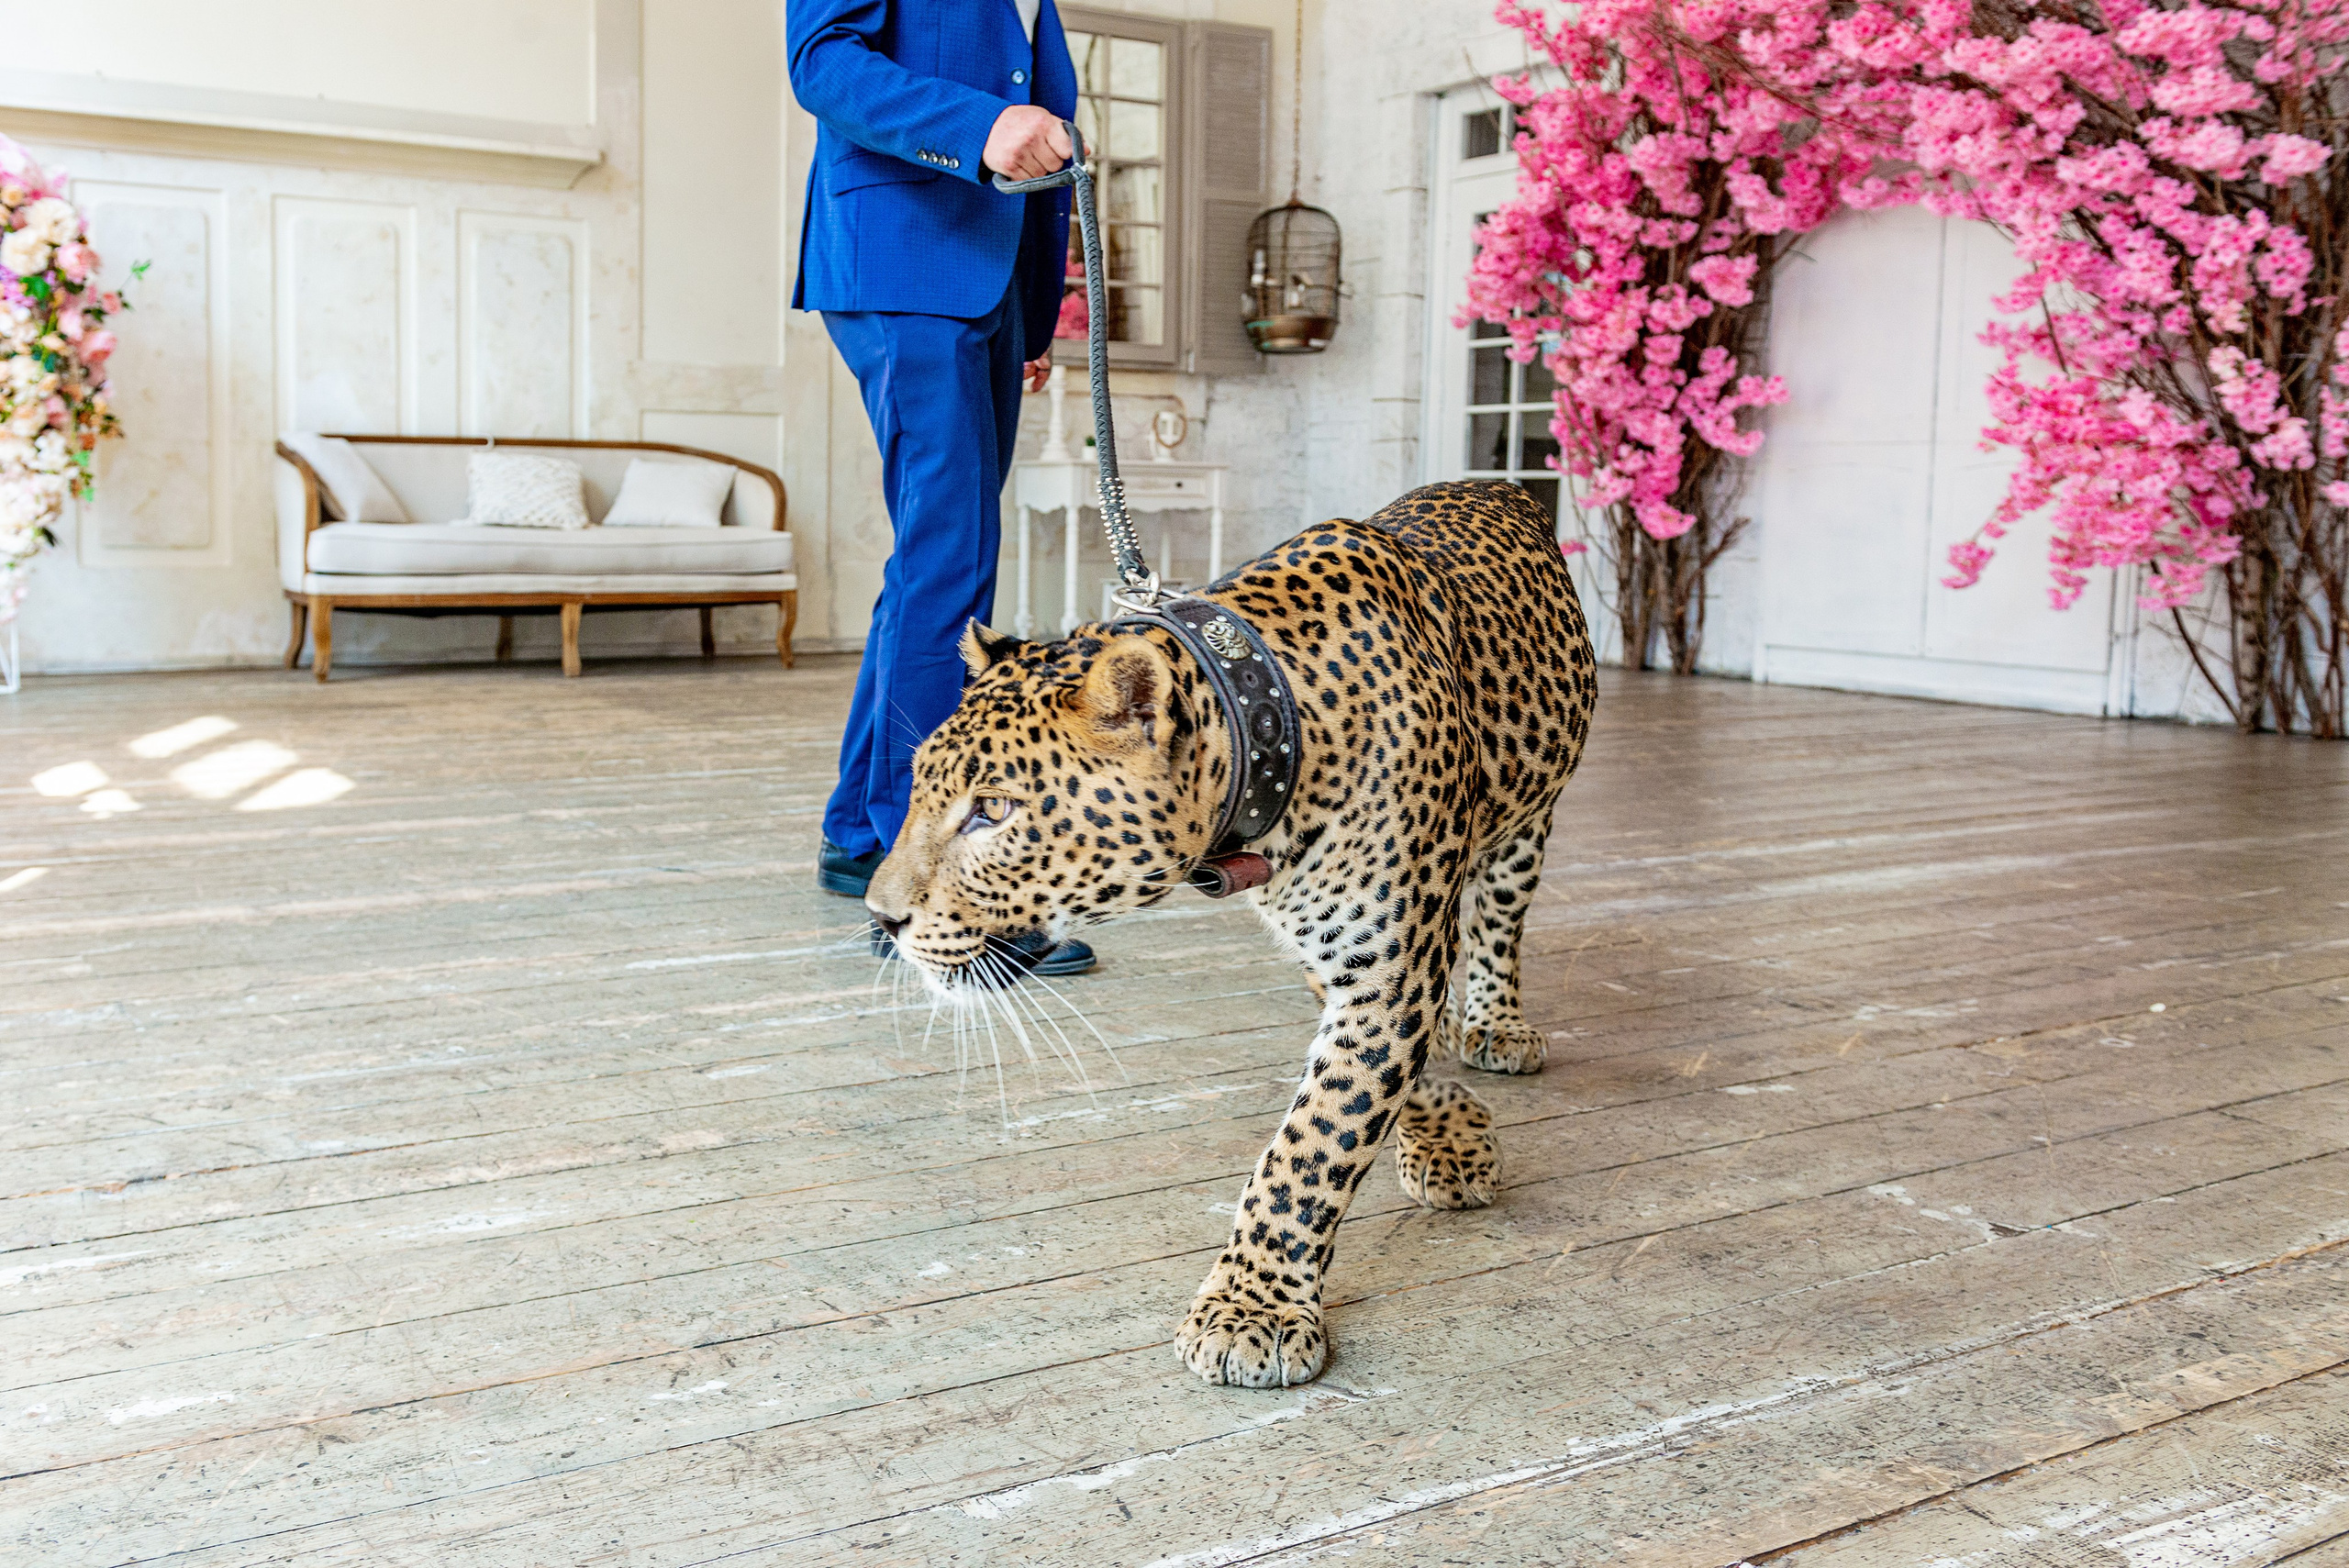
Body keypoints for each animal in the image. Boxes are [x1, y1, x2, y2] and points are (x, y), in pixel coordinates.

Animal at [864, 480, 1597, 1388]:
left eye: (993, 811)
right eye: (920, 788)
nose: (880, 916)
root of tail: (1494, 483)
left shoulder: (1389, 969)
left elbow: (1314, 1138)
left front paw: (1254, 1308)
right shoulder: (1346, 956)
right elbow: (1383, 1076)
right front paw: (1448, 1131)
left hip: (1528, 822)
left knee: (1500, 913)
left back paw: (1495, 1022)